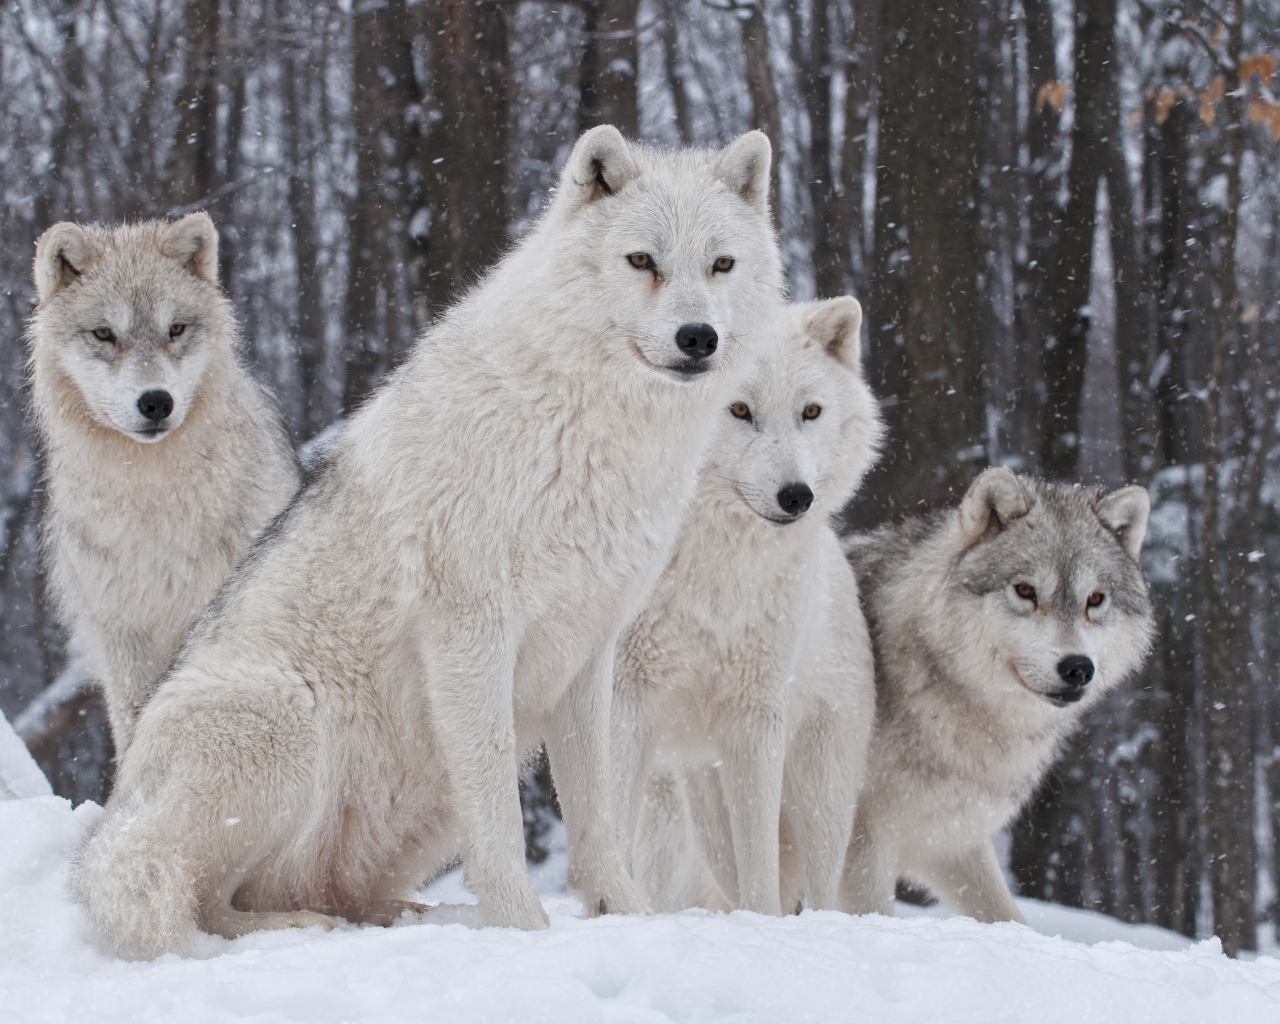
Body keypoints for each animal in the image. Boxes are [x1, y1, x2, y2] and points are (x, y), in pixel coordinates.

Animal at [77, 128, 788, 962]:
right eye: (642, 260)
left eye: (721, 265)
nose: (698, 337)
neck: (588, 429)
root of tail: (108, 826)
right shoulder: (471, 633)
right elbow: (500, 816)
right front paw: (523, 930)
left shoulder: (589, 649)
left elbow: (595, 814)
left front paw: (625, 915)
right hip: (284, 719)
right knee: (197, 899)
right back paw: (300, 930)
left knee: (321, 892)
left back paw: (401, 917)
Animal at [614, 295, 885, 911]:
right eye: (737, 409)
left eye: (811, 411)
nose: (797, 497)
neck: (712, 571)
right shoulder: (623, 700)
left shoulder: (756, 717)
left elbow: (760, 864)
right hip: (704, 806)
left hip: (818, 796)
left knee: (818, 888)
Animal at [839, 468, 1162, 921]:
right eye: (1025, 591)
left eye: (1095, 600)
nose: (1077, 668)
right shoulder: (861, 841)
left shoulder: (952, 841)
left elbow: (1007, 917)